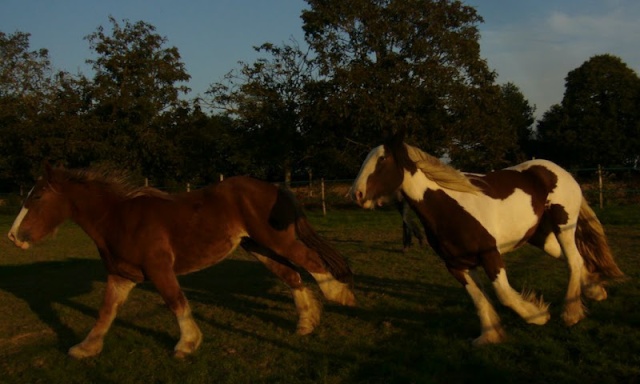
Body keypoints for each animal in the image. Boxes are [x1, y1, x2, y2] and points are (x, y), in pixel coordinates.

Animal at [7, 164, 356, 358]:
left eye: (37, 197)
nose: (12, 236)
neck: (119, 219)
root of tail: (274, 187)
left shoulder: (159, 269)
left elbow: (176, 302)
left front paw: (187, 344)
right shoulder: (122, 276)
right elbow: (105, 313)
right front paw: (85, 348)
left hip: (275, 240)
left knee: (309, 260)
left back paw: (341, 296)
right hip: (258, 247)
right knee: (293, 275)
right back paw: (306, 324)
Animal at [350, 133, 624, 344]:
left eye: (382, 159)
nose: (355, 194)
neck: (449, 207)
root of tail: (561, 172)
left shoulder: (490, 255)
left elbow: (502, 294)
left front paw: (537, 316)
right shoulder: (455, 265)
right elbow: (479, 299)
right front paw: (489, 337)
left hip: (563, 225)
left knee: (574, 261)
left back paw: (571, 314)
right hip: (542, 236)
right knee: (574, 259)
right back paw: (596, 291)